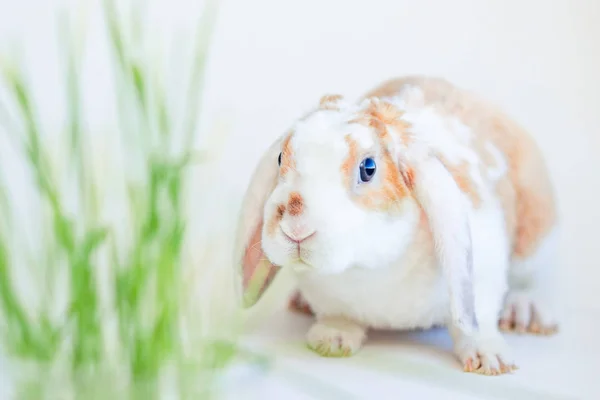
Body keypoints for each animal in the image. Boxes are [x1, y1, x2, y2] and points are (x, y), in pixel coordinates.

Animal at [233, 75, 556, 376]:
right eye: (279, 158)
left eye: (368, 168)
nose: (295, 227)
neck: (368, 269)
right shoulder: (326, 296)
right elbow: (336, 315)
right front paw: (332, 340)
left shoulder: (483, 275)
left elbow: (476, 321)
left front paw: (490, 359)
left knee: (526, 284)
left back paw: (523, 314)